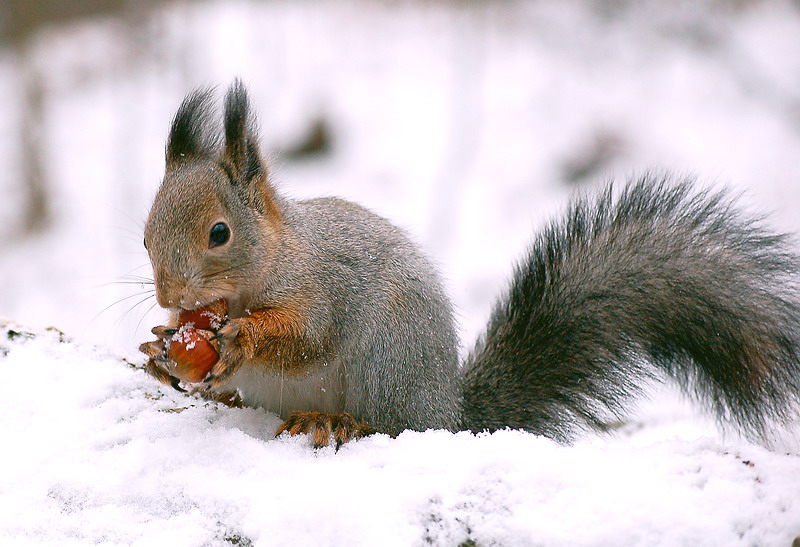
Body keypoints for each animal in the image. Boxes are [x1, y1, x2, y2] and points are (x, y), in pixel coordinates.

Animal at [141, 82, 800, 450]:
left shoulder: (324, 285)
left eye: (220, 234)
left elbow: (305, 336)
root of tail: (449, 413)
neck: (269, 263)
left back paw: (336, 422)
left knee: (392, 424)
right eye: (146, 236)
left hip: (392, 356)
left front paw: (240, 340)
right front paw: (160, 348)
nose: (170, 298)